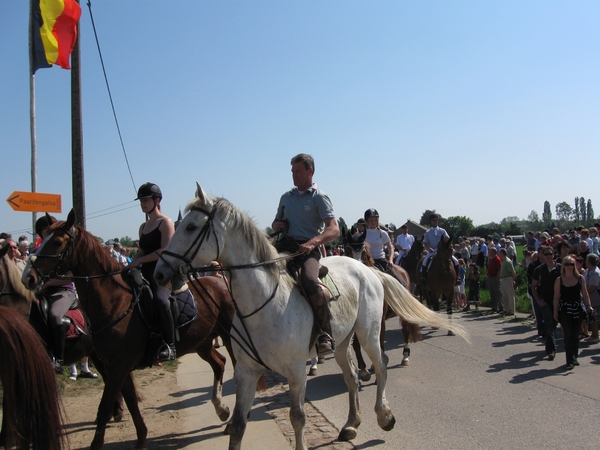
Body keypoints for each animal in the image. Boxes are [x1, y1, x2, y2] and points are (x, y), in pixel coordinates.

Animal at [23, 211, 239, 450]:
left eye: (57, 242)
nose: (28, 277)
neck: (115, 302)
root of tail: (222, 282)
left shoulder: (119, 366)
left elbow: (105, 407)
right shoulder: (118, 365)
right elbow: (131, 401)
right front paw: (141, 439)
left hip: (230, 339)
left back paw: (231, 420)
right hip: (202, 342)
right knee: (219, 364)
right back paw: (222, 410)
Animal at [342, 232, 422, 376]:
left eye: (363, 252)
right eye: (347, 250)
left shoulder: (381, 319)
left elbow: (379, 341)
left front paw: (378, 364)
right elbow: (356, 344)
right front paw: (363, 369)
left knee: (406, 331)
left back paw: (405, 357)